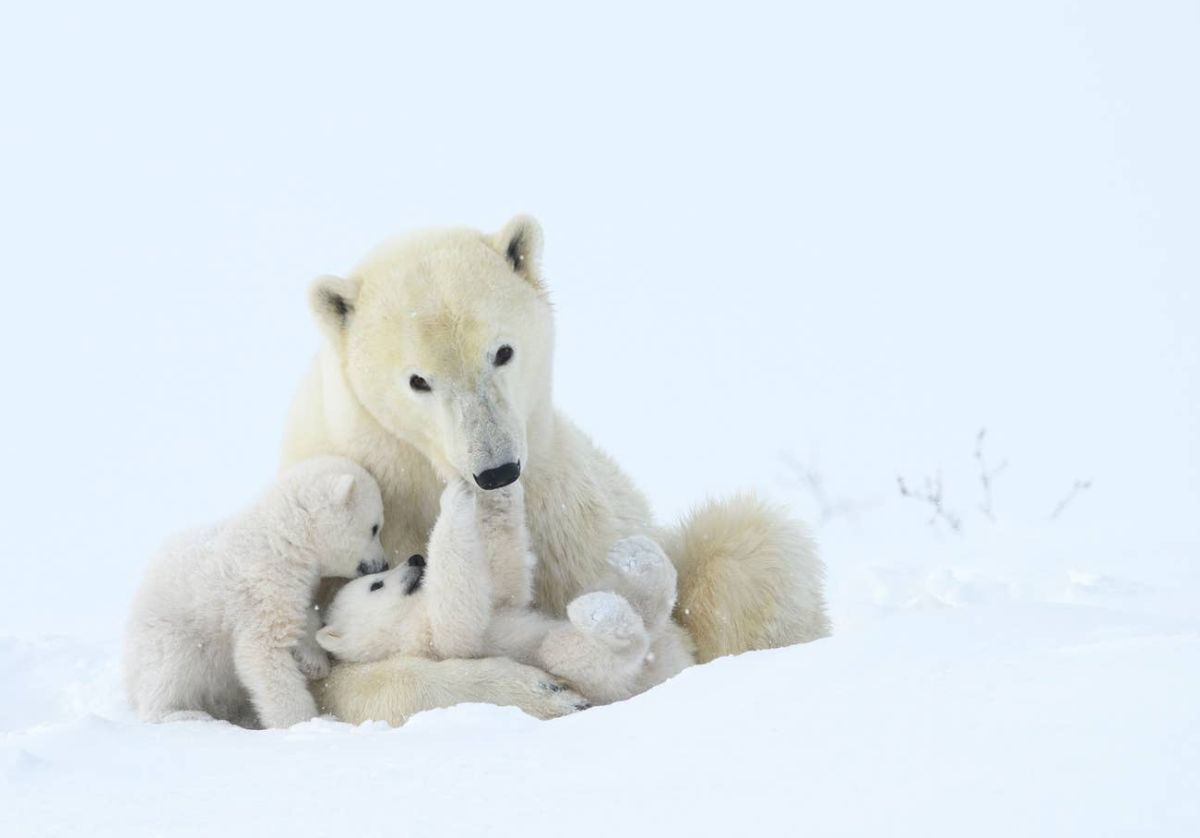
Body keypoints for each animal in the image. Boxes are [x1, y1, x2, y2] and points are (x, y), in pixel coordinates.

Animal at [280, 213, 825, 720]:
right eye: (418, 380)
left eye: (502, 351)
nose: (496, 470)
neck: (416, 472)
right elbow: (341, 679)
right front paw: (537, 690)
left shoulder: (563, 512)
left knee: (744, 552)